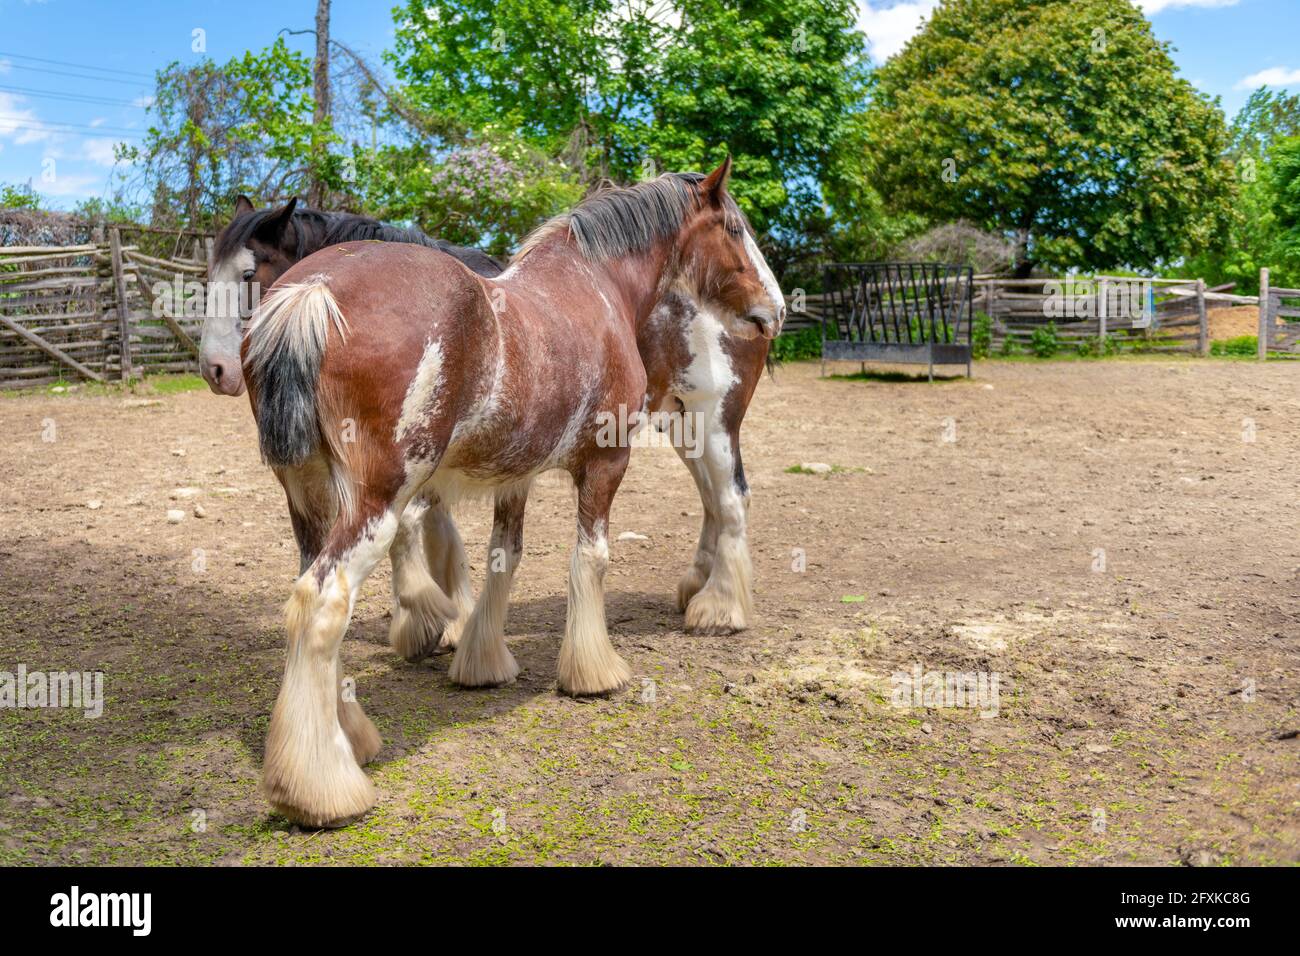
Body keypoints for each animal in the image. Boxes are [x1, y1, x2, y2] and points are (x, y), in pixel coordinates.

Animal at [242, 158, 784, 826]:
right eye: (734, 228)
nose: (775, 307)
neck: (596, 286)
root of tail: (311, 292)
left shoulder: (515, 473)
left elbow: (505, 559)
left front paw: (481, 661)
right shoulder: (606, 462)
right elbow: (590, 558)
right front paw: (593, 670)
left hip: (312, 500)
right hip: (375, 502)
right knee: (321, 603)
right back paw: (323, 787)